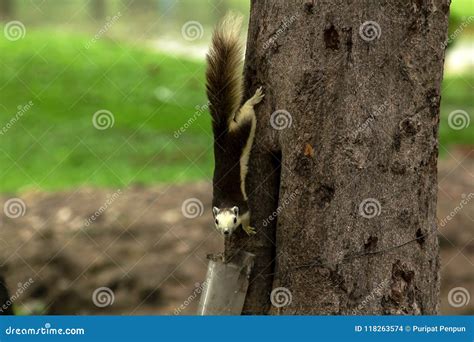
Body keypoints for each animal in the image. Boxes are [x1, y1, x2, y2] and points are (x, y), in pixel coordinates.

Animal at [206, 14, 264, 238]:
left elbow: (249, 216)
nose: (226, 232)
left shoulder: (245, 206)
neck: (225, 203)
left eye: (233, 219)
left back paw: (253, 99)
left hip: (244, 128)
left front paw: (247, 228)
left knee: (247, 112)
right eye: (215, 221)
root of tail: (221, 136)